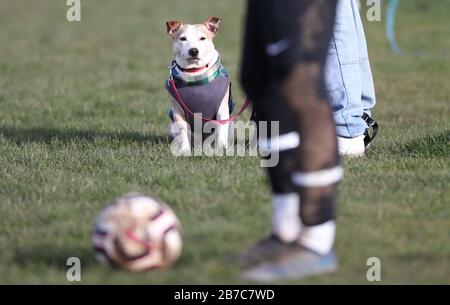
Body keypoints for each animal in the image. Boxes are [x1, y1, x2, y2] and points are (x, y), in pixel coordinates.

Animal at [165, 16, 232, 154]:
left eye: (202, 38)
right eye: (182, 38)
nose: (194, 51)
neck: (194, 74)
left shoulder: (222, 109)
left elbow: (221, 128)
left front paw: (221, 149)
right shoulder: (177, 110)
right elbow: (183, 130)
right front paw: (185, 150)